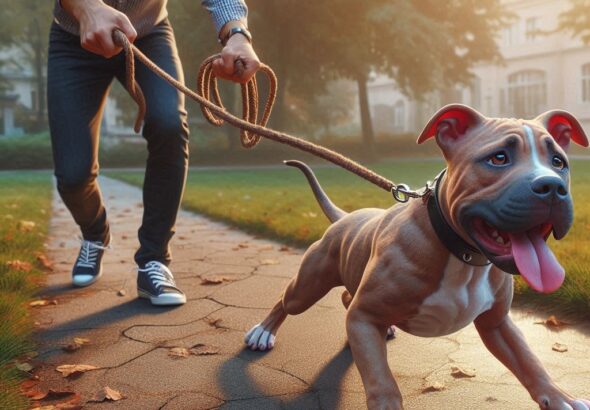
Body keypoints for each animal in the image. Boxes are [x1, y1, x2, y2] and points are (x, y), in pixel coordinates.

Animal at [244, 104, 590, 408]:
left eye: (558, 162)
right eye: (499, 158)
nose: (552, 187)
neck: (462, 255)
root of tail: (346, 217)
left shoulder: (497, 324)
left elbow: (530, 362)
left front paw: (560, 398)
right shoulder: (364, 317)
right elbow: (382, 383)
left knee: (346, 298)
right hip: (308, 286)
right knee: (286, 301)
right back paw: (263, 331)